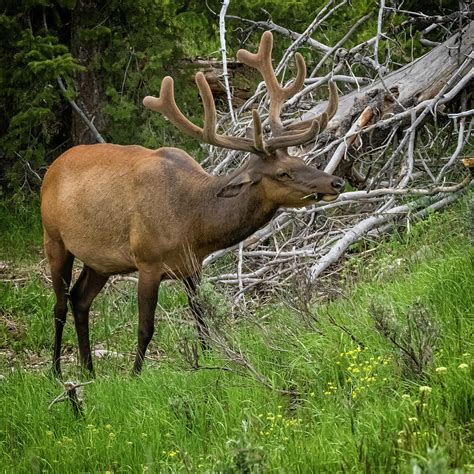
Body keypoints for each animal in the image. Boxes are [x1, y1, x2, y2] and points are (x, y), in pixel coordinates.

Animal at [40, 31, 344, 376]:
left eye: (300, 159)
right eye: (282, 172)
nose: (336, 182)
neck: (192, 221)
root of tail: (51, 168)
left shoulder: (192, 264)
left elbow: (200, 316)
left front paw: (207, 360)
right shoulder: (148, 260)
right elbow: (146, 326)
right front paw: (135, 374)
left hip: (100, 260)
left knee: (80, 300)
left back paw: (89, 370)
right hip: (53, 238)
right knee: (59, 305)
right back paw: (57, 371)